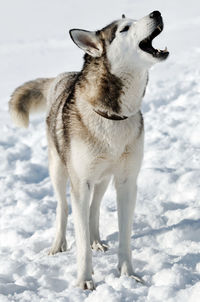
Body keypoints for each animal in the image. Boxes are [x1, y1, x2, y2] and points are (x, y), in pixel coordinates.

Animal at [9, 11, 169, 290]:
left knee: (94, 208)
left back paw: (96, 240)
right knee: (63, 208)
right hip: (59, 171)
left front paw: (127, 274)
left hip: (103, 178)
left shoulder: (127, 182)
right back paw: (58, 245)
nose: (156, 12)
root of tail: (62, 76)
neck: (113, 115)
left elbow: (124, 236)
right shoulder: (81, 183)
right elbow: (80, 240)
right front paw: (84, 280)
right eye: (124, 29)